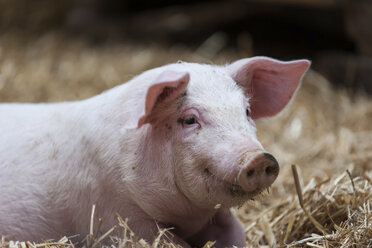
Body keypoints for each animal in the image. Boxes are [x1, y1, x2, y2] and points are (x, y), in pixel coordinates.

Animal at [0, 57, 310, 247]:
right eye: (189, 119)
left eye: (246, 111)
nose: (259, 158)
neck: (187, 217)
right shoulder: (114, 214)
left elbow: (236, 234)